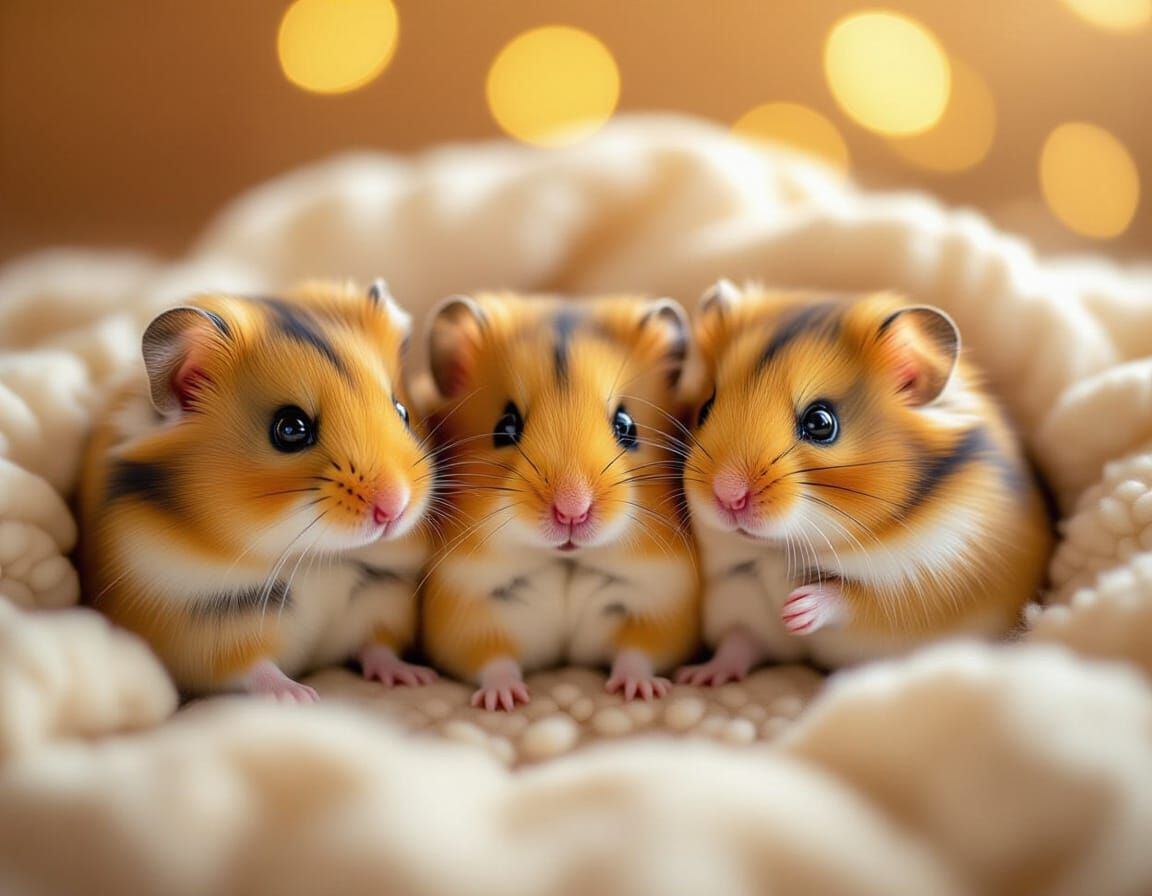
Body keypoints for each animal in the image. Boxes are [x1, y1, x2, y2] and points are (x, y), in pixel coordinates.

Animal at [77, 280, 438, 701]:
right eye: (290, 428)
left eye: (402, 411)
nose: (394, 508)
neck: (316, 558)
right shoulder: (206, 640)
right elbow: (257, 670)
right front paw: (302, 697)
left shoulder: (381, 604)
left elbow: (377, 648)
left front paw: (414, 678)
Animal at [420, 292, 700, 710]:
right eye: (505, 426)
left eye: (626, 426)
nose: (572, 510)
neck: (565, 560)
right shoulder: (466, 611)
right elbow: (493, 660)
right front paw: (506, 700)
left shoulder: (659, 602)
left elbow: (638, 652)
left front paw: (640, 691)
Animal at [676, 281, 1052, 681]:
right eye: (705, 409)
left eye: (820, 423)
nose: (727, 496)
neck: (780, 550)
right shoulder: (741, 597)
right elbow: (740, 641)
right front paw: (698, 676)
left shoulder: (924, 586)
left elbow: (851, 597)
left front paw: (796, 610)